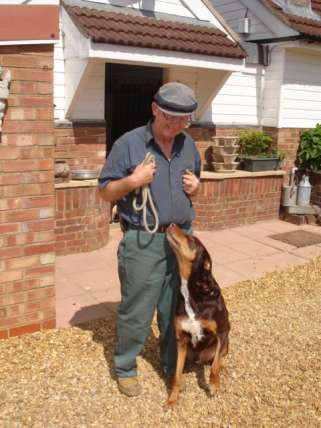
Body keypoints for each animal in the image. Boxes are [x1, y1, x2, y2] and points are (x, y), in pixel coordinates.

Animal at [164, 222, 229, 406]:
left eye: (191, 239)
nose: (171, 223)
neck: (192, 291)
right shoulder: (181, 340)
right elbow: (177, 375)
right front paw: (172, 399)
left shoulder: (223, 332)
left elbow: (214, 366)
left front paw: (213, 386)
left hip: (226, 342)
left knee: (218, 358)